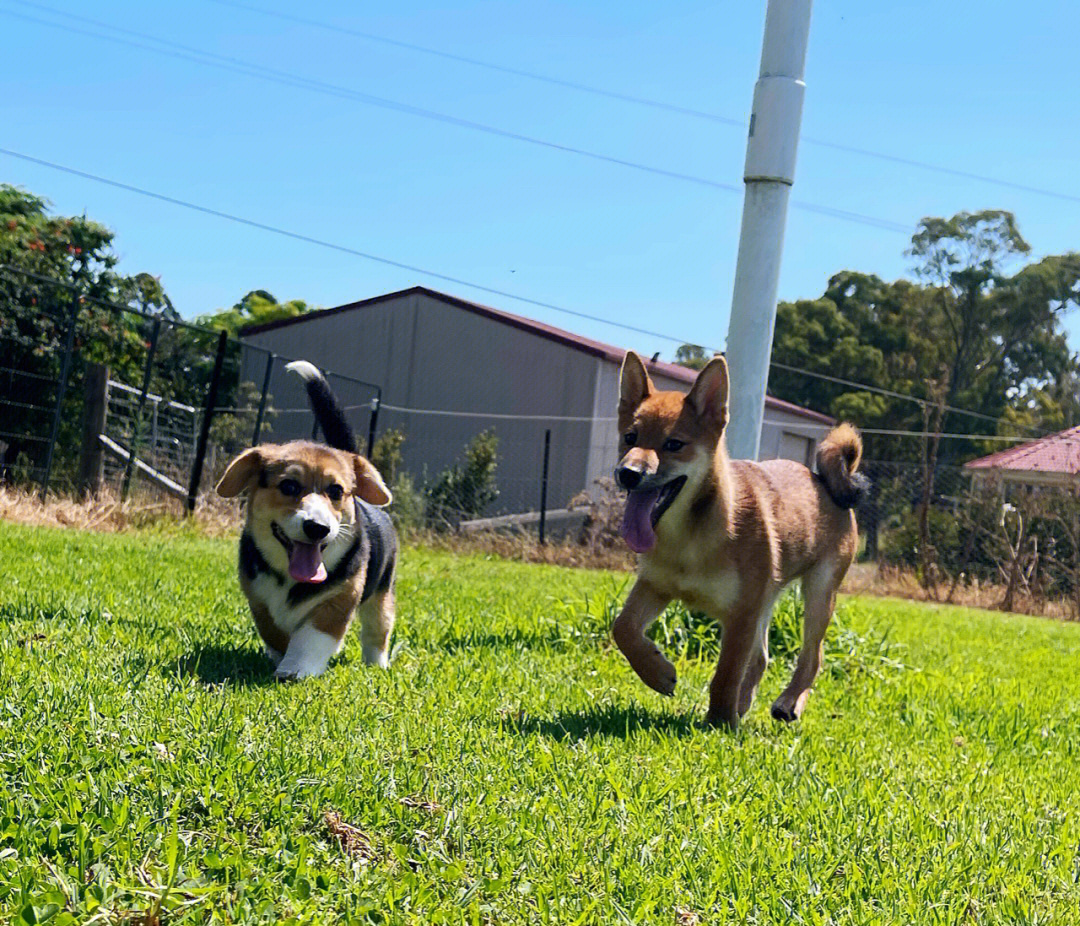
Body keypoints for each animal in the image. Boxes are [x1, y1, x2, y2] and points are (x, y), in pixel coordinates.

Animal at [214, 360, 397, 678]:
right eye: (289, 486)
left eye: (336, 491)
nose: (317, 528)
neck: (291, 579)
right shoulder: (258, 599)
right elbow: (274, 630)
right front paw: (280, 655)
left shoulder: (339, 598)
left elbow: (313, 635)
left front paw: (295, 667)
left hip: (381, 595)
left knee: (378, 631)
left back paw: (377, 664)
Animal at [613, 350, 864, 726]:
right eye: (630, 437)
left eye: (674, 444)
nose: (627, 473)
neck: (689, 534)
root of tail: (822, 478)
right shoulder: (655, 586)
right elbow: (623, 628)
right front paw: (657, 672)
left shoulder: (741, 615)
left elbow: (726, 674)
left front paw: (719, 722)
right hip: (767, 599)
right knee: (761, 658)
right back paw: (744, 705)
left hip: (819, 593)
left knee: (812, 657)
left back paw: (789, 702)